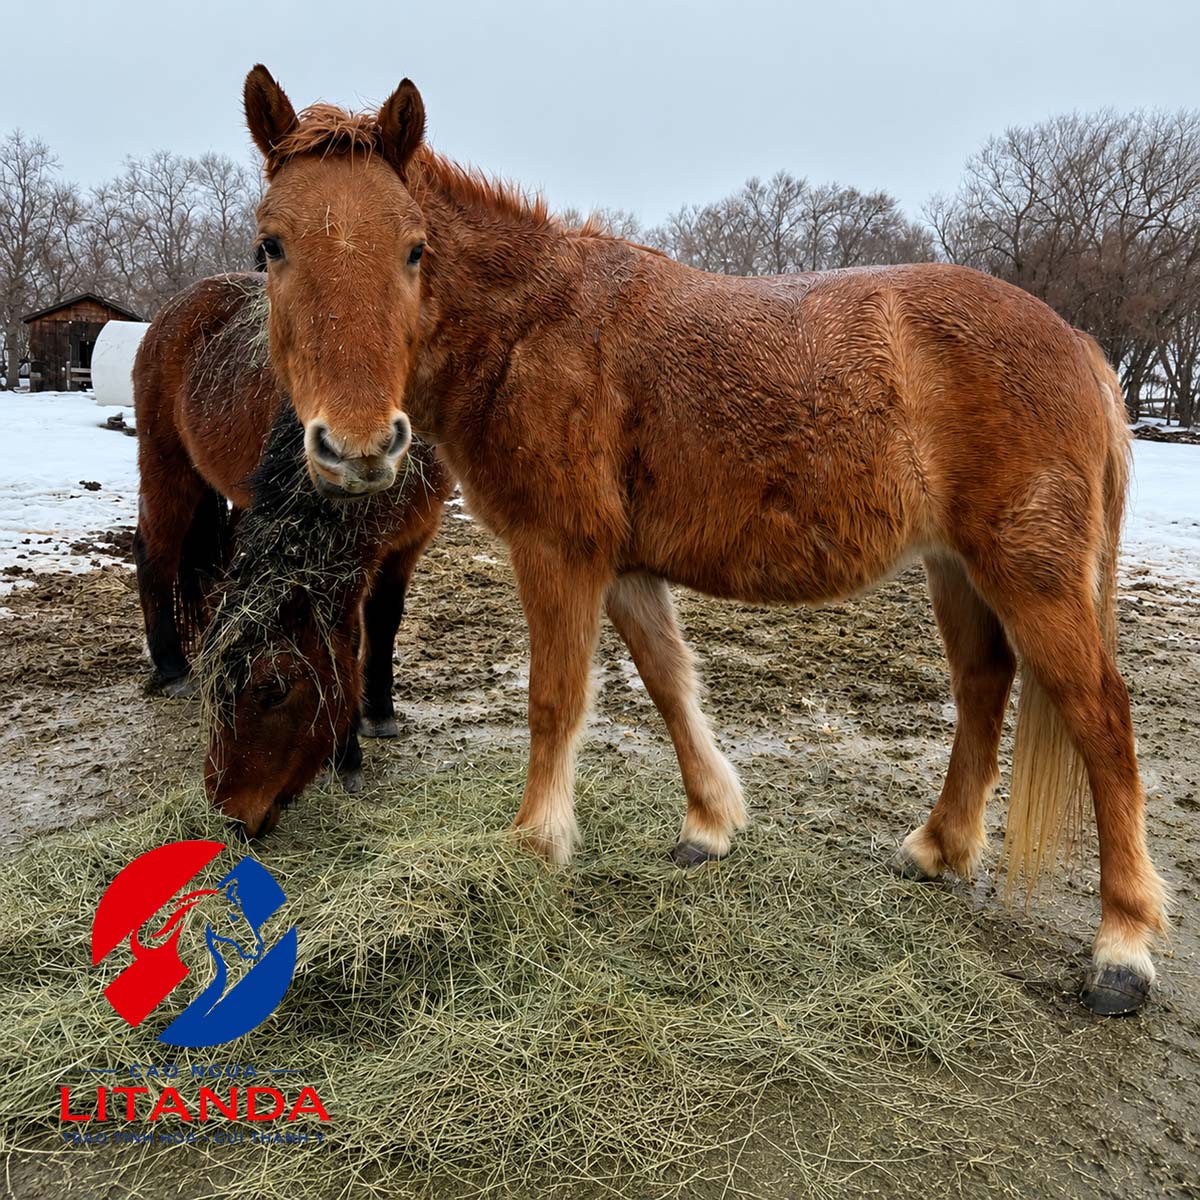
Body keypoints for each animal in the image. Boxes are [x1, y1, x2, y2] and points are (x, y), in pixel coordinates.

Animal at [131, 270, 450, 779]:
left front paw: (378, 714)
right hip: (167, 466)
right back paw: (172, 668)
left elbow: (384, 619)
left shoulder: (408, 539)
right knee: (154, 551)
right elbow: (347, 633)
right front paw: (345, 751)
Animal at [237, 65, 1166, 1014]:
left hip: (1031, 576)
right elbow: (670, 684)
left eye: (414, 249)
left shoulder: (559, 555)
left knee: (1101, 720)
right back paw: (938, 848)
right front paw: (709, 825)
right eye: (271, 246)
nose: (357, 447)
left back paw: (1121, 948)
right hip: (958, 569)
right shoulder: (624, 568)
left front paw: (534, 845)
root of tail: (1080, 346)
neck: (530, 327)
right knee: (983, 686)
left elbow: (555, 701)